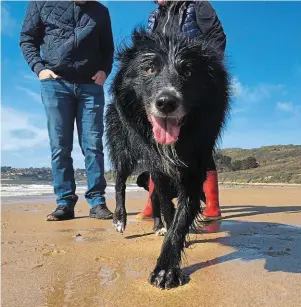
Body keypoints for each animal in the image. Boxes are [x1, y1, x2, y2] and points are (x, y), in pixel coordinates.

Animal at [105, 27, 230, 290]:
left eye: (189, 71)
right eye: (150, 69)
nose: (166, 103)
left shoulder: (195, 165)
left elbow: (181, 216)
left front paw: (166, 268)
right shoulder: (158, 168)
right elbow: (165, 203)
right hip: (123, 148)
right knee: (120, 180)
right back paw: (120, 219)